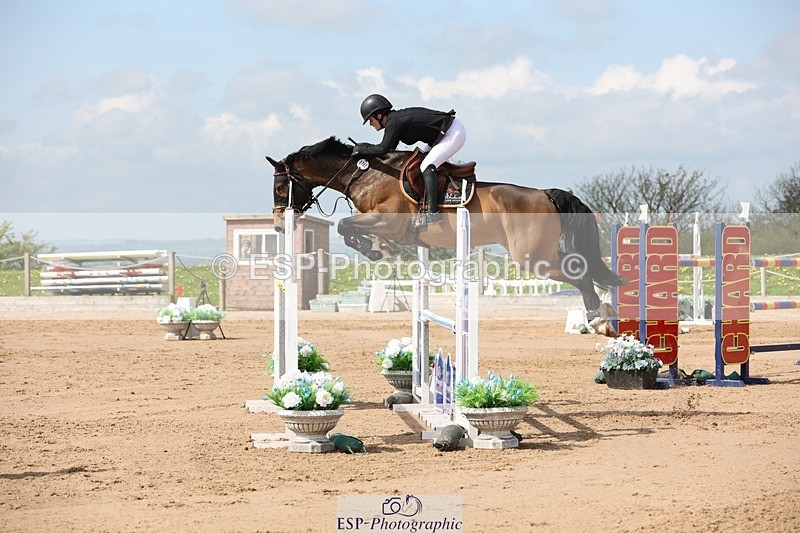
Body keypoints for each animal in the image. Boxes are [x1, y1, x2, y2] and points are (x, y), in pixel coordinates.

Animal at [266, 136, 625, 336]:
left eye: (281, 186)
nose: (279, 227)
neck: (365, 175)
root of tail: (546, 194)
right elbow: (348, 228)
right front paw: (380, 249)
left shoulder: (388, 221)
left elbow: (346, 227)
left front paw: (377, 250)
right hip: (538, 254)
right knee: (580, 270)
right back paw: (599, 315)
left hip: (531, 257)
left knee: (579, 274)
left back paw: (597, 317)